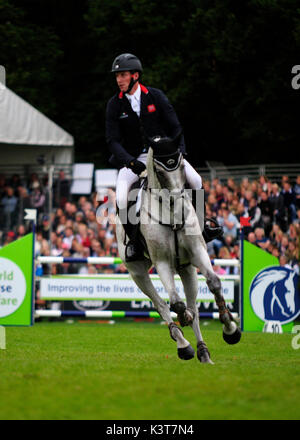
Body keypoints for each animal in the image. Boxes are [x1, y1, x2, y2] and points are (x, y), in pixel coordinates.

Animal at [116, 136, 240, 362]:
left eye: (181, 166)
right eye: (160, 171)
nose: (178, 204)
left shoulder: (198, 252)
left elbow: (214, 283)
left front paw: (231, 330)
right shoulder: (162, 263)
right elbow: (176, 303)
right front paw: (184, 321)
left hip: (186, 268)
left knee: (194, 307)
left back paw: (203, 351)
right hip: (138, 272)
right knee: (162, 304)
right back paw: (183, 344)